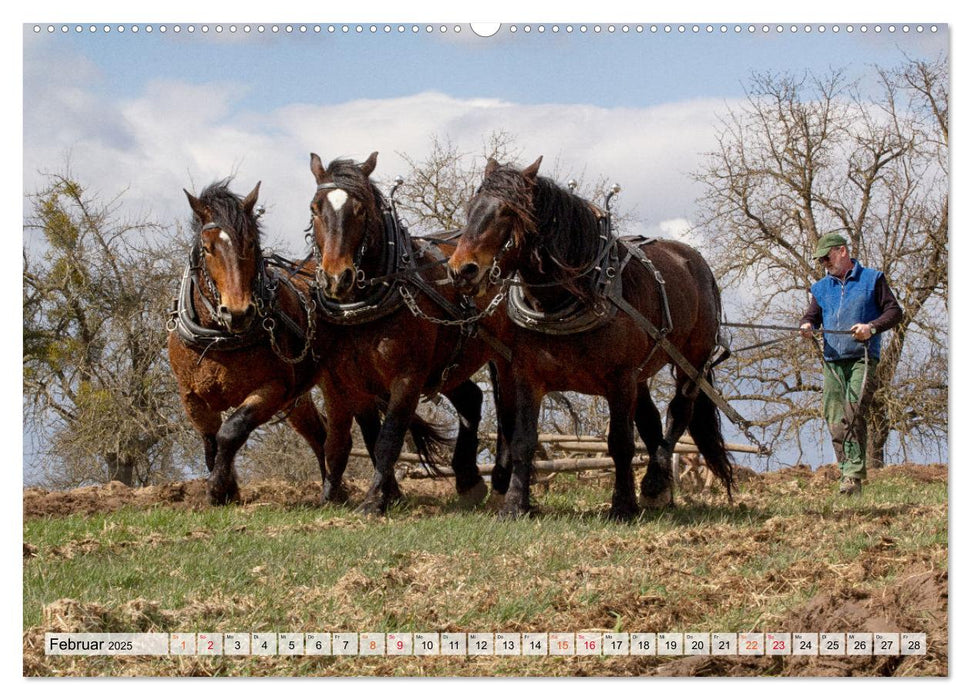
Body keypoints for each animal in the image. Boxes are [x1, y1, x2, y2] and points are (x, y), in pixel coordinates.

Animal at [169, 179, 450, 508]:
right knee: (320, 433)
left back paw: (356, 491)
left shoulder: (274, 389)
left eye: (250, 243)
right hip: (303, 398)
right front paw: (226, 492)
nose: (238, 312)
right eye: (208, 248)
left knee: (338, 435)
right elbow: (211, 442)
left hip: (331, 385)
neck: (218, 337)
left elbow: (231, 431)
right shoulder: (191, 396)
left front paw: (216, 489)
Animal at [310, 153, 508, 516]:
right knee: (471, 400)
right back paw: (468, 481)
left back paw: (500, 481)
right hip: (449, 363)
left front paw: (374, 500)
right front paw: (331, 497)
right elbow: (341, 441)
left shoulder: (407, 376)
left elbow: (388, 439)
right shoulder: (344, 382)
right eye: (316, 208)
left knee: (507, 412)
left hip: (502, 356)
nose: (336, 278)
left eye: (361, 210)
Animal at [444, 159, 732, 520]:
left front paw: (622, 506)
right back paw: (660, 490)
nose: (461, 270)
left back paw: (654, 482)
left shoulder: (620, 379)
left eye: (508, 212)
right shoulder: (528, 377)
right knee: (651, 421)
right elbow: (524, 439)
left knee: (678, 413)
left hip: (691, 361)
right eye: (472, 209)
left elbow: (620, 443)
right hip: (641, 375)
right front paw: (514, 505)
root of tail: (695, 262)